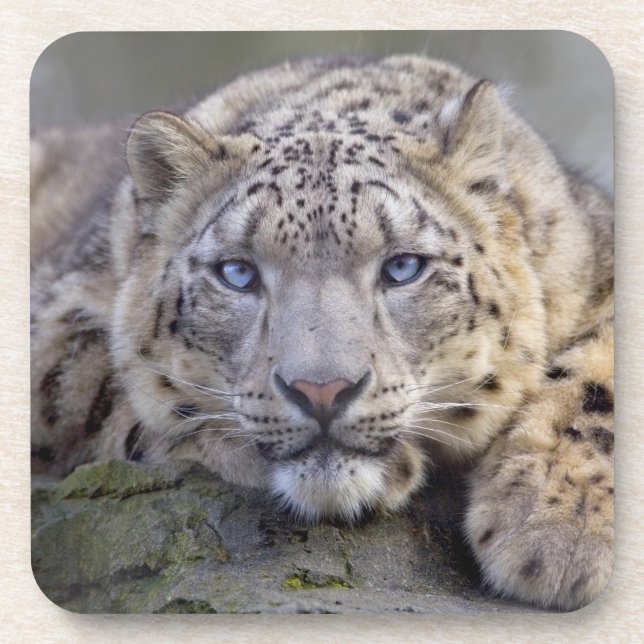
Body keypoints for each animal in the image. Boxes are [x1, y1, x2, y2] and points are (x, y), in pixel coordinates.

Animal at [30, 55, 614, 611]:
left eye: (403, 266)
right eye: (237, 272)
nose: (322, 391)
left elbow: (600, 375)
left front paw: (557, 528)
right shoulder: (58, 324)